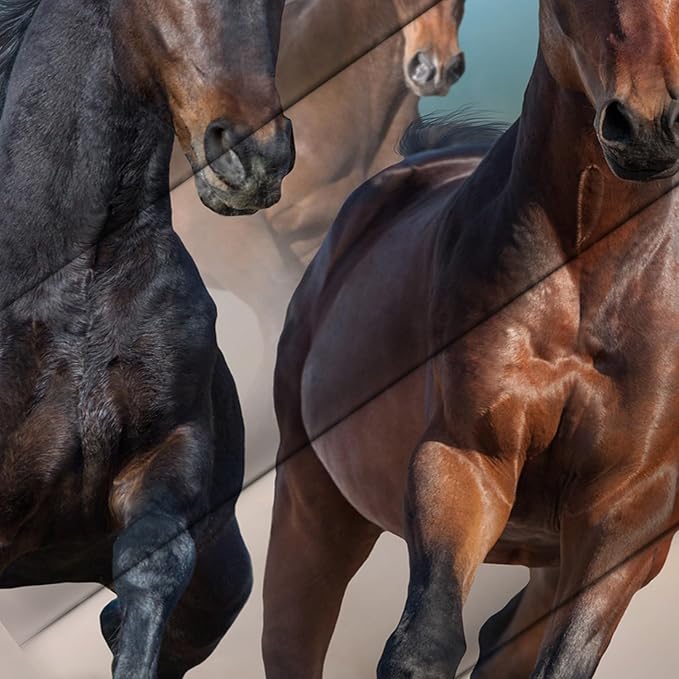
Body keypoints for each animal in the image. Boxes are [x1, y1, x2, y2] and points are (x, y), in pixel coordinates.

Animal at [264, 0, 679, 677]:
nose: (649, 124)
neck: (589, 277)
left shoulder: (630, 513)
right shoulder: (466, 458)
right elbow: (422, 648)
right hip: (313, 507)